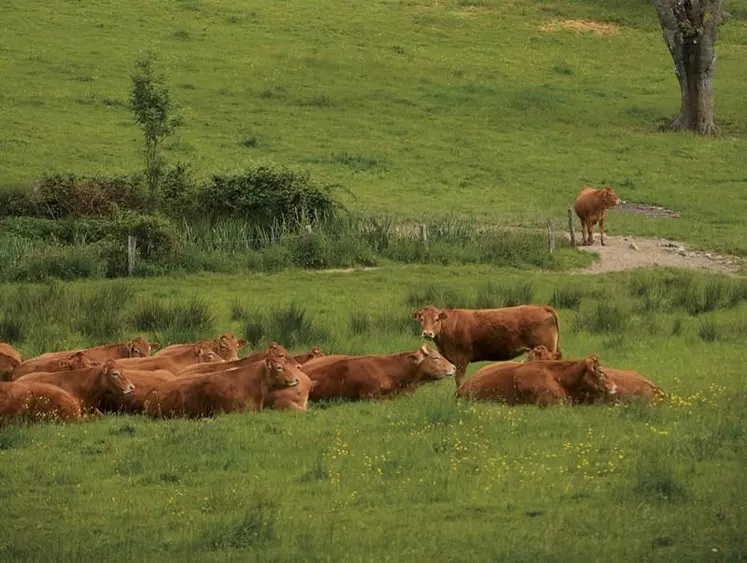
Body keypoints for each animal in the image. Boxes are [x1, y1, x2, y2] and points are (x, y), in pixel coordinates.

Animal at [412, 306, 564, 390]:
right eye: (422, 319)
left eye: (436, 319)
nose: (427, 333)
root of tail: (541, 307)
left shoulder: (461, 359)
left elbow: (459, 381)